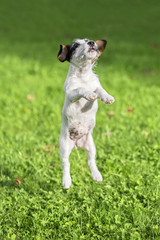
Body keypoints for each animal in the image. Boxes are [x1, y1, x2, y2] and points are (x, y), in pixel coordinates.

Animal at [57, 38, 115, 188]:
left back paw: (96, 175)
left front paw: (107, 97)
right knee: (66, 164)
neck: (84, 76)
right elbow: (81, 89)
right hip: (64, 146)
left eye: (90, 40)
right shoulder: (72, 93)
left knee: (91, 161)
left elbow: (100, 91)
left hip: (91, 146)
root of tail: (77, 144)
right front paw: (88, 94)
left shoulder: (97, 86)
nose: (91, 43)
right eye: (76, 45)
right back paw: (66, 181)